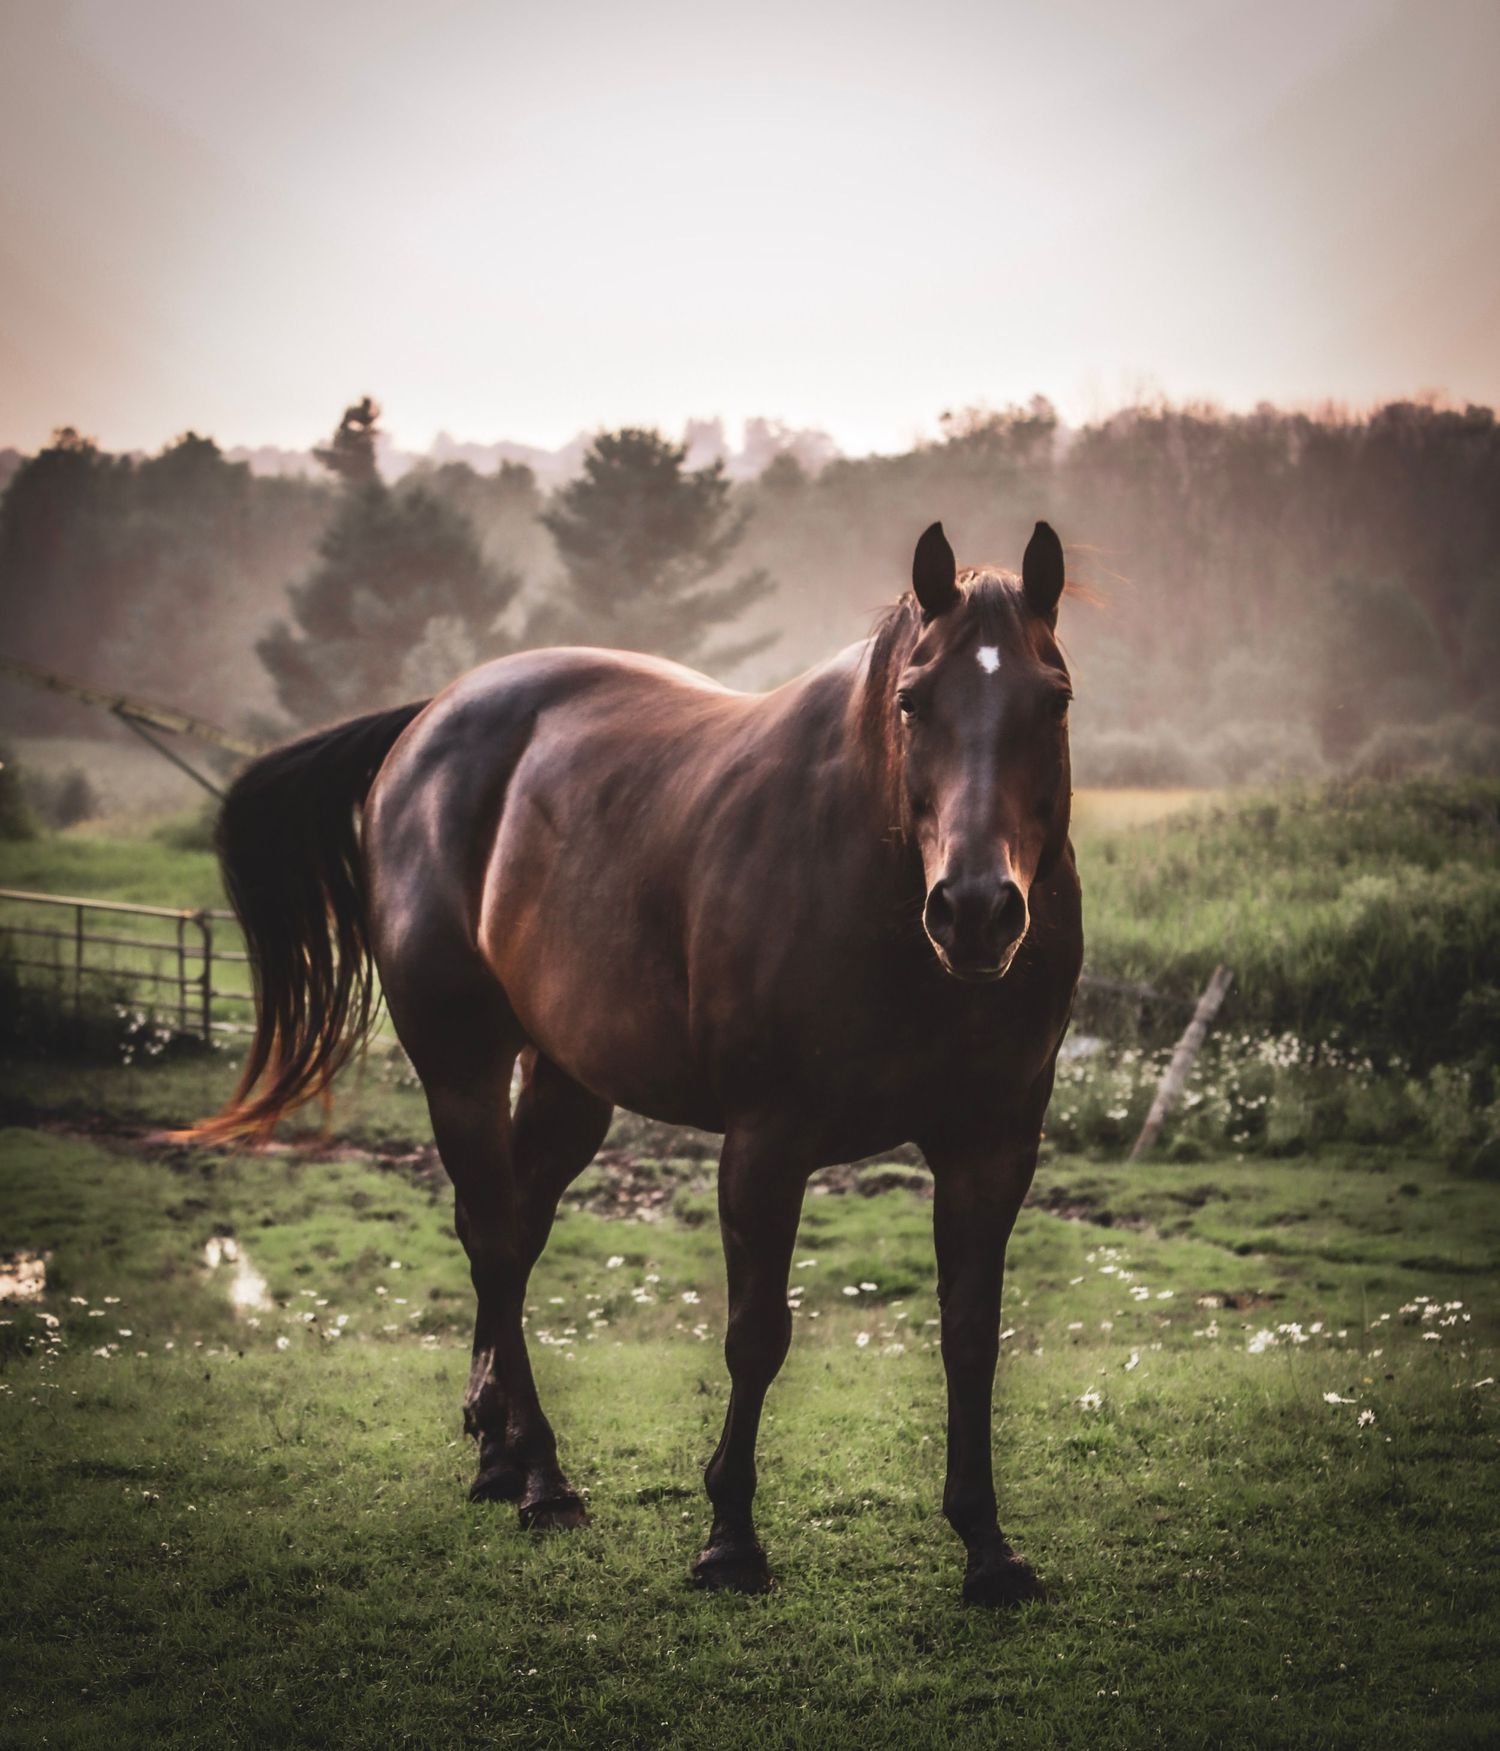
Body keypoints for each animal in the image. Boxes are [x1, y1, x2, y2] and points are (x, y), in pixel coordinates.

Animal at [198, 519, 1082, 1606]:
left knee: (511, 1233)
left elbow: (970, 1336)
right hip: (460, 1064)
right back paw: (541, 1477)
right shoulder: (766, 1141)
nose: (977, 909)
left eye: (1053, 699)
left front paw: (988, 1544)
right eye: (914, 698)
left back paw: (497, 1451)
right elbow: (756, 1334)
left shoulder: (990, 1144)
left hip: (568, 1080)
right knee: (496, 1242)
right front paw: (730, 1538)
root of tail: (431, 717)